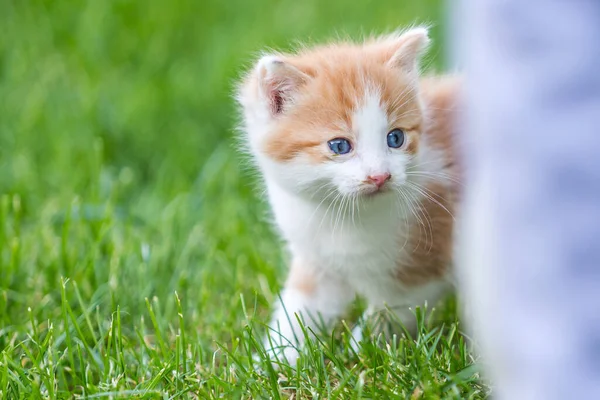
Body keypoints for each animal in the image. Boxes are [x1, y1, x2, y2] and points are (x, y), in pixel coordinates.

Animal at [234, 27, 460, 366]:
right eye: (340, 146)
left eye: (395, 138)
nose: (380, 176)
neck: (341, 217)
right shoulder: (317, 260)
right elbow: (298, 310)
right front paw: (273, 361)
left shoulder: (423, 266)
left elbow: (392, 311)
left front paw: (361, 353)